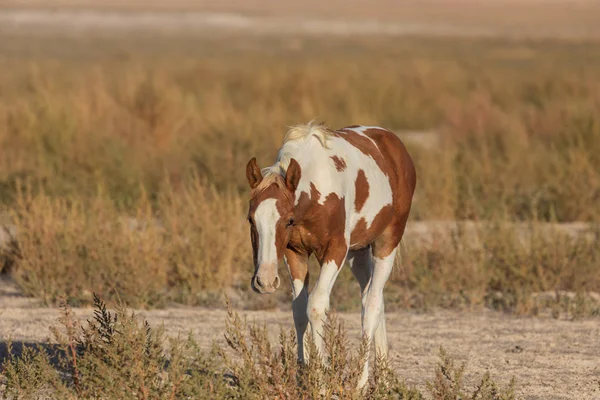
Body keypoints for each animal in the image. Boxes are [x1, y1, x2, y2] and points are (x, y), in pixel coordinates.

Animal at [246, 121, 414, 388]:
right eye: (251, 219)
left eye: (288, 220)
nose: (265, 281)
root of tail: (395, 144)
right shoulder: (295, 253)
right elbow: (299, 309)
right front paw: (304, 375)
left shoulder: (335, 250)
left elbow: (315, 306)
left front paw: (321, 380)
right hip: (358, 255)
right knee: (375, 299)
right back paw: (384, 379)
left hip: (386, 244)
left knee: (371, 304)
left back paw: (361, 383)